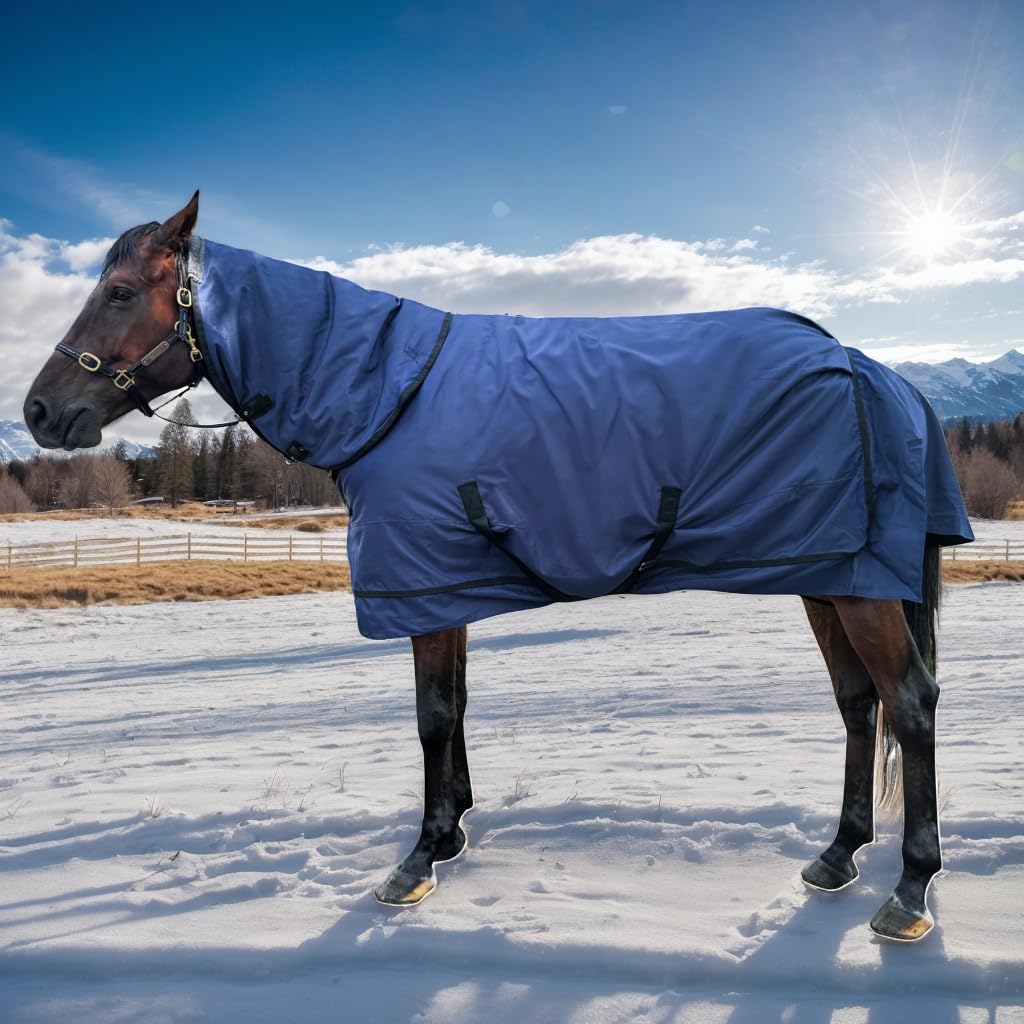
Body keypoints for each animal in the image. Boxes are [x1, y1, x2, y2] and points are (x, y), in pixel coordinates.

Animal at [23, 193, 974, 943]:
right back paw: (838, 854)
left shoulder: (422, 588)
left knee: (910, 703)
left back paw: (910, 890)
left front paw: (418, 856)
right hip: (829, 573)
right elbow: (458, 705)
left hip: (860, 589)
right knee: (858, 704)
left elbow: (433, 716)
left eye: (119, 292)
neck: (384, 390)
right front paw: (452, 833)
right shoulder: (446, 585)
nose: (38, 411)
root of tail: (885, 376)